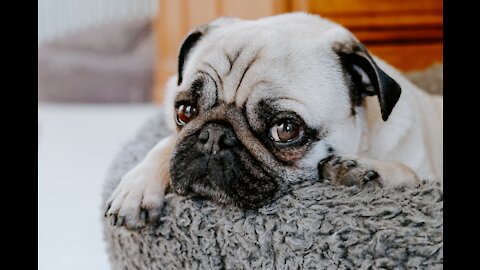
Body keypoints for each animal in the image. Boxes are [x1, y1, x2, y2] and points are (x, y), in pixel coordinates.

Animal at [105, 11, 442, 229]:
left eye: (286, 130)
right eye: (185, 112)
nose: (214, 136)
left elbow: (411, 174)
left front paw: (364, 170)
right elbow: (166, 145)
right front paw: (136, 186)